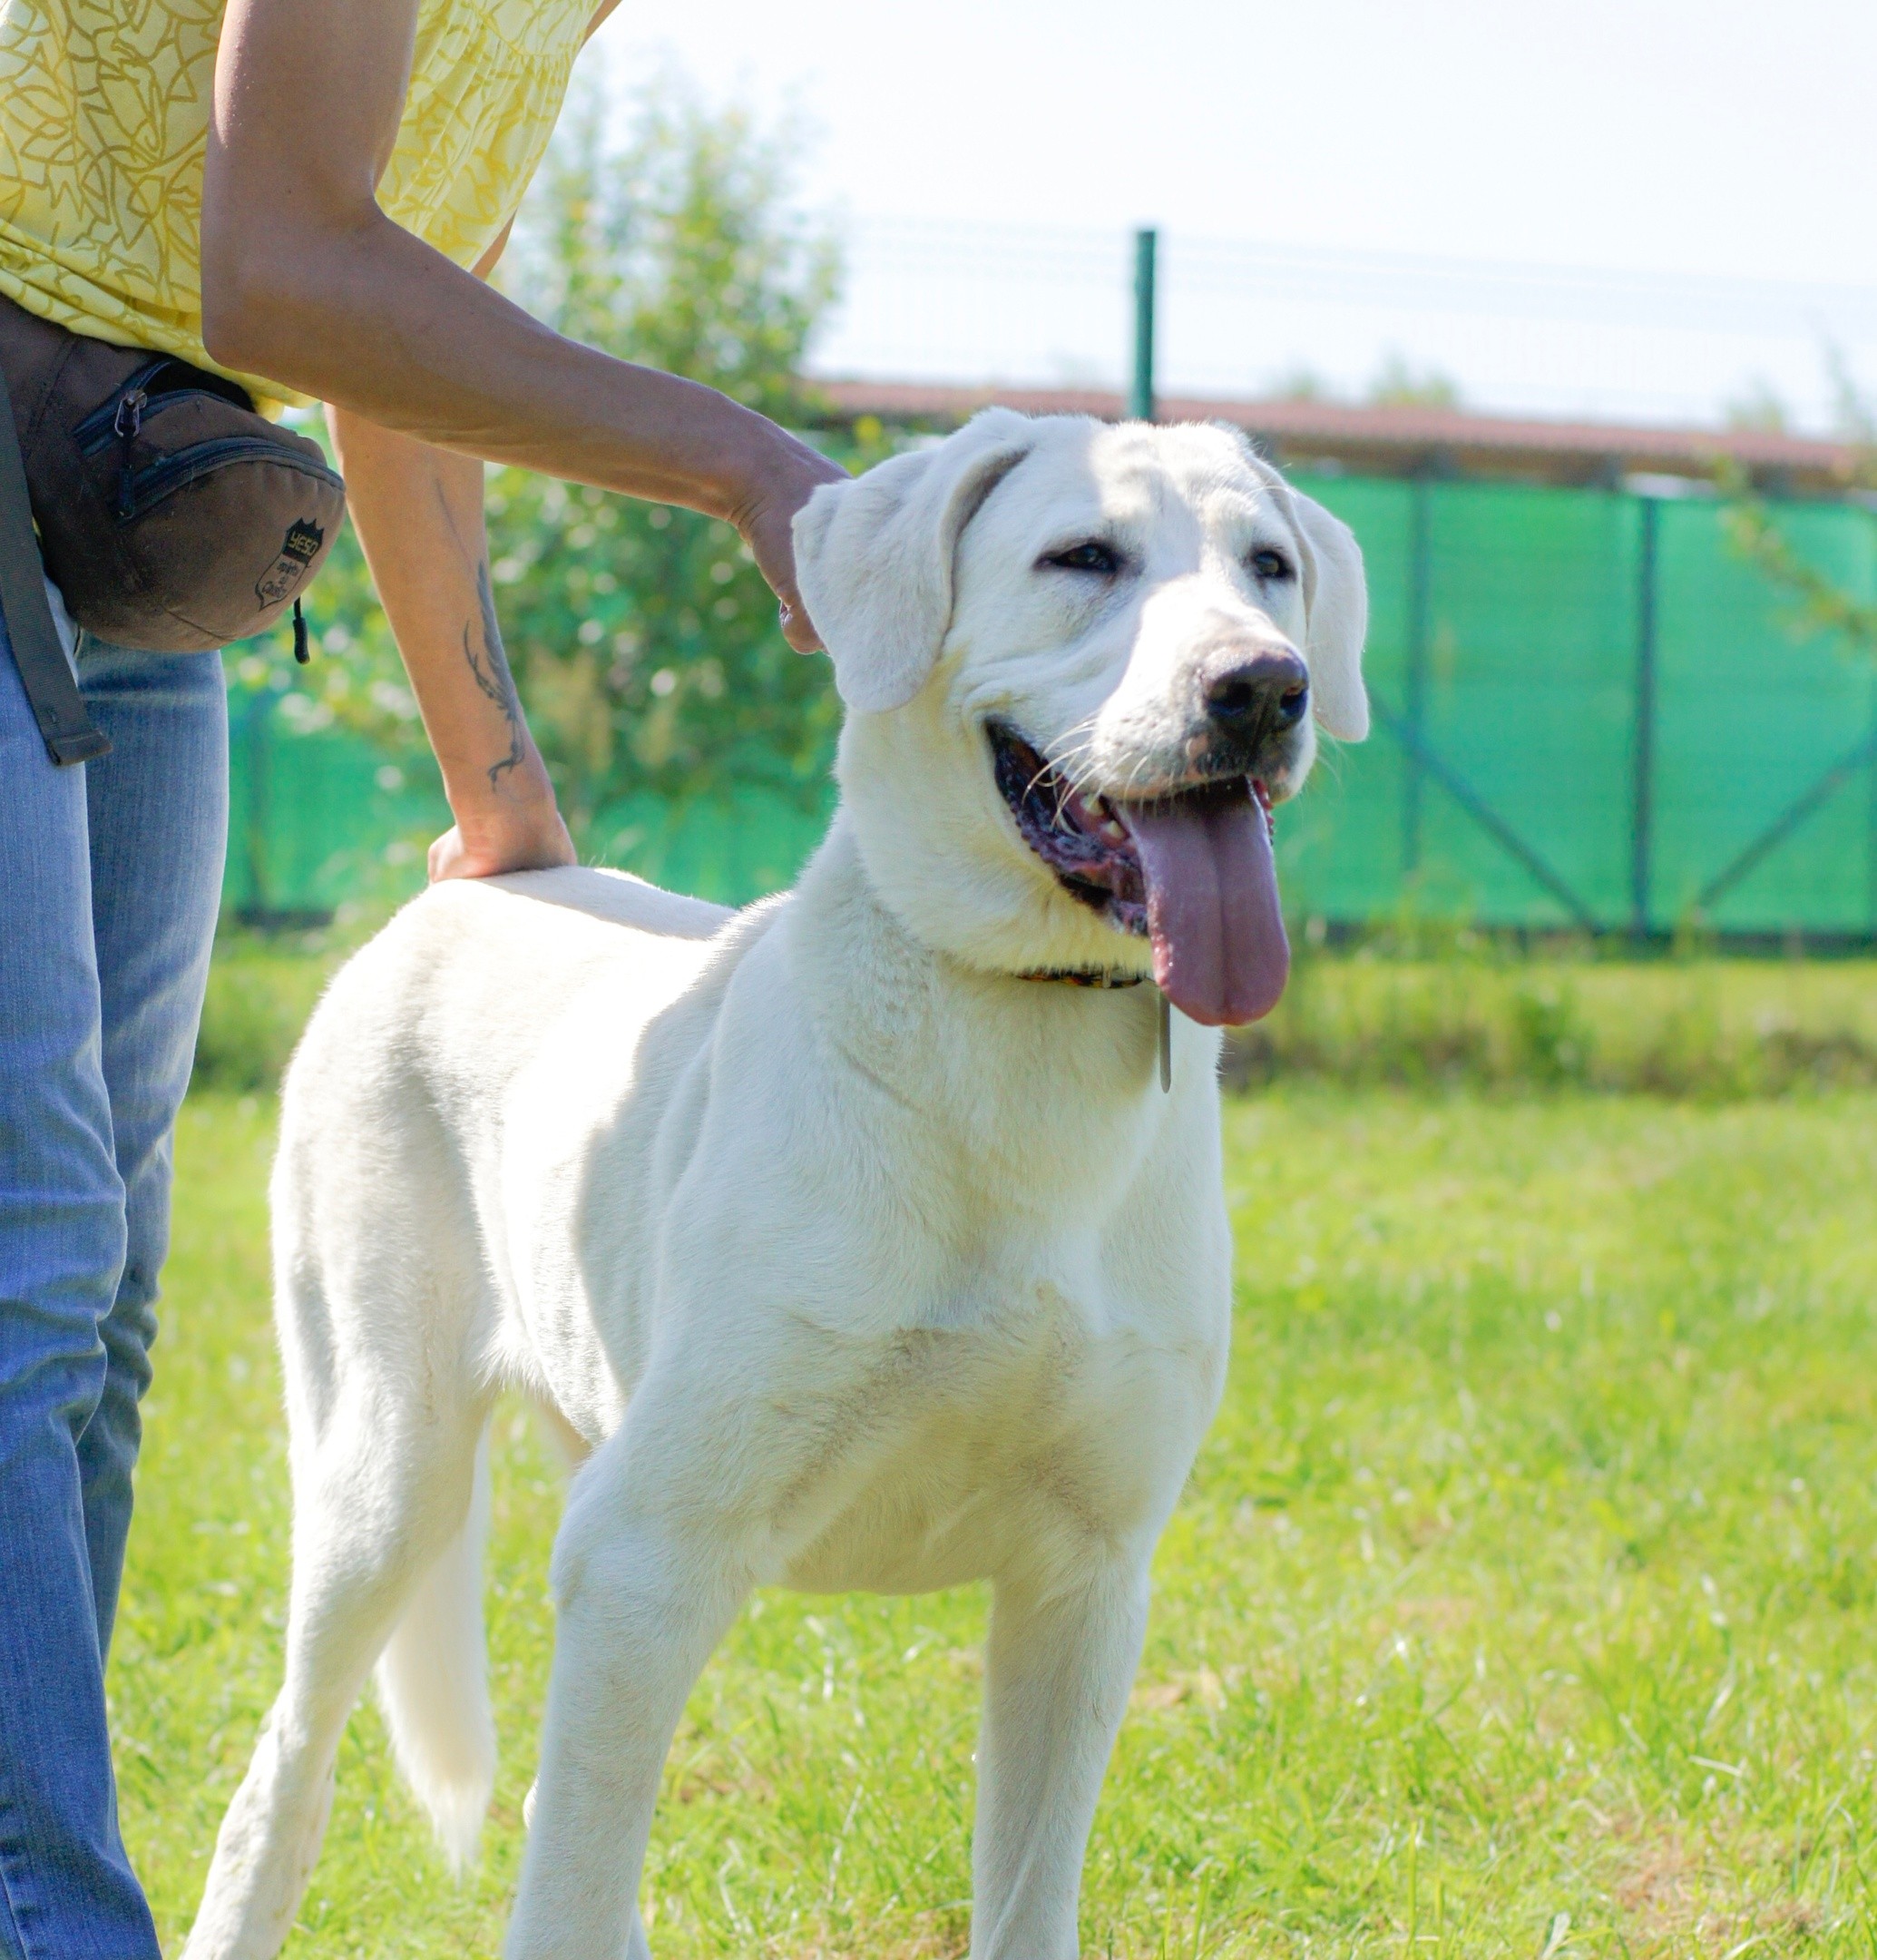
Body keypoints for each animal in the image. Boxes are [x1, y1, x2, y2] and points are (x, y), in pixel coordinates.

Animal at [187, 406, 1364, 1952]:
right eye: (1083, 557)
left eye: (1269, 567)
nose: (1265, 688)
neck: (1016, 1042)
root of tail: (472, 886)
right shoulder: (642, 1553)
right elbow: (559, 1896)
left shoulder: (1086, 1583)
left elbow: (1025, 1902)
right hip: (383, 1474)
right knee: (289, 1780)